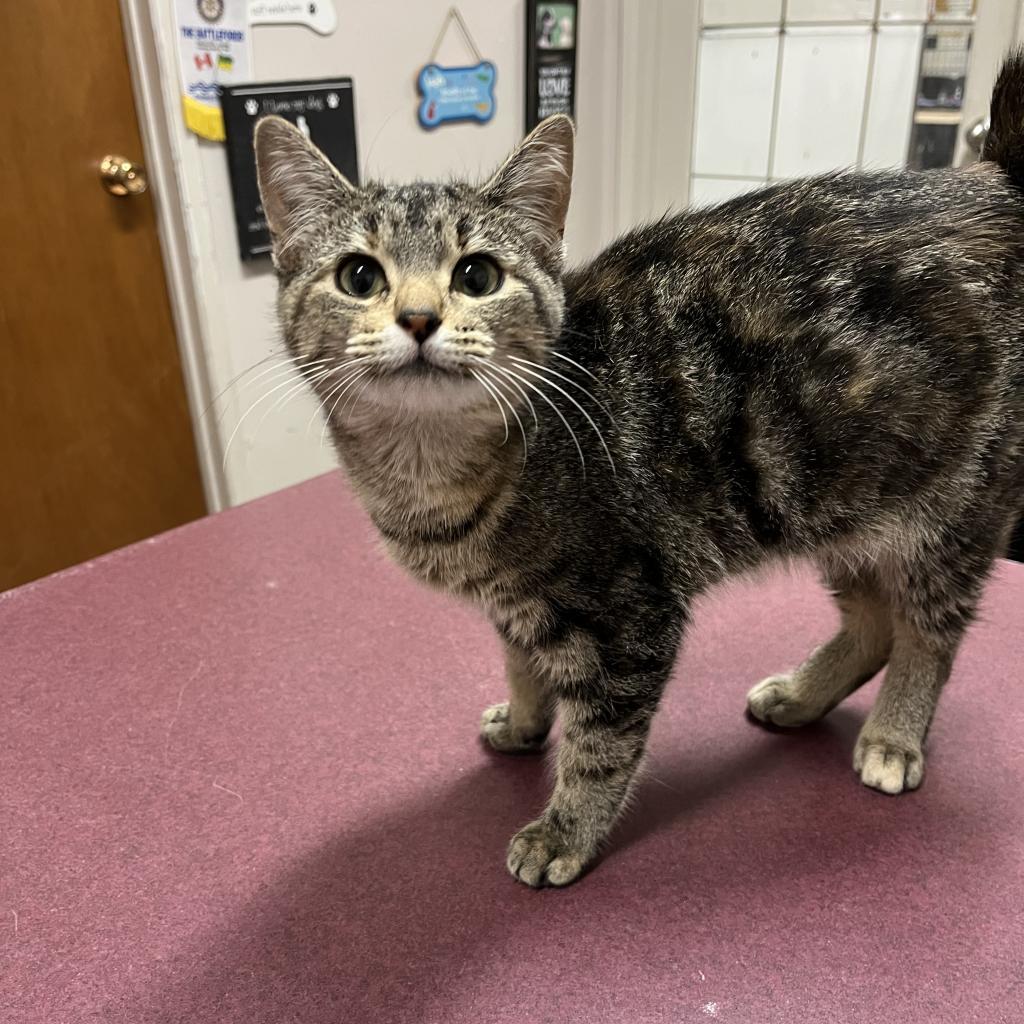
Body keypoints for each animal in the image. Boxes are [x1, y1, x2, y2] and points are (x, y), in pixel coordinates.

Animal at [253, 56, 1024, 884]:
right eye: (360, 277)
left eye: (478, 275)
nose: (420, 318)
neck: (437, 477)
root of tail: (995, 183)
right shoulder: (515, 605)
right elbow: (523, 666)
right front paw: (523, 721)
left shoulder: (629, 612)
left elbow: (601, 744)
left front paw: (565, 830)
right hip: (832, 499)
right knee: (875, 623)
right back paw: (800, 696)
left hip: (947, 513)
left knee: (926, 632)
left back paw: (894, 735)